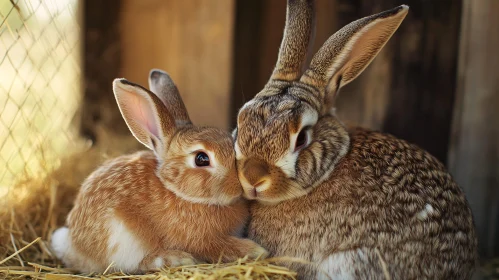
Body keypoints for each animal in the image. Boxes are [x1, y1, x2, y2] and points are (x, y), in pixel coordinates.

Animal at [50, 69, 268, 274]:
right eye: (201, 159)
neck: (178, 192)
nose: (238, 185)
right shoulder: (201, 240)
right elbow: (219, 246)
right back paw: (175, 258)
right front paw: (256, 250)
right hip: (123, 238)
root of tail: (74, 245)